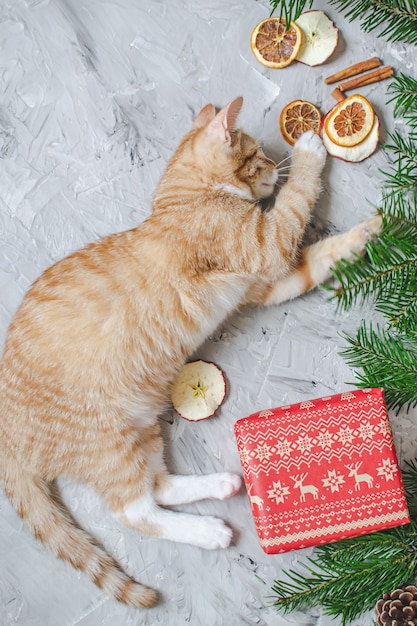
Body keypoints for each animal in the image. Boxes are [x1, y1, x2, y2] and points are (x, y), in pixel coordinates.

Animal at [0, 96, 380, 604]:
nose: (272, 168)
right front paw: (308, 153)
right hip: (107, 444)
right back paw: (209, 531)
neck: (185, 198)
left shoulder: (269, 281)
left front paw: (374, 229)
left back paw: (221, 483)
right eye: (257, 153)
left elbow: (324, 256)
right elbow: (298, 199)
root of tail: (8, 433)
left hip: (140, 428)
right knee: (134, 512)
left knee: (158, 486)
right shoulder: (269, 245)